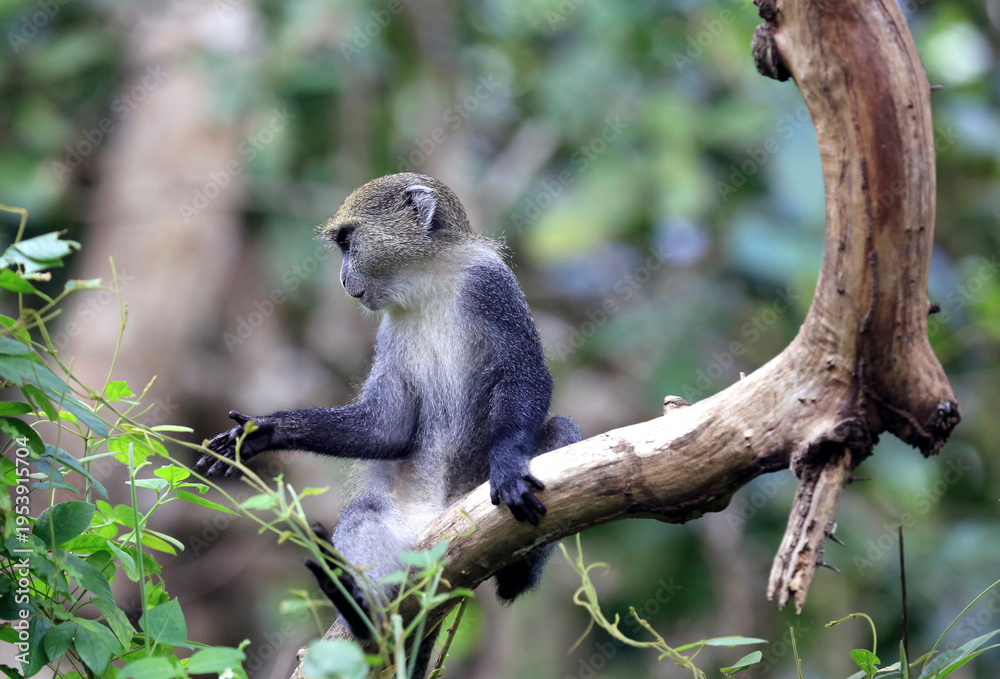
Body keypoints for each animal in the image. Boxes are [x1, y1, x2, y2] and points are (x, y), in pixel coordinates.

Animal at [197, 172, 580, 660]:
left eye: (348, 241)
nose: (343, 277)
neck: (428, 282)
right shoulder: (391, 329)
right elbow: (387, 428)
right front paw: (266, 431)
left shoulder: (492, 287)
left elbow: (525, 377)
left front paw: (509, 464)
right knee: (365, 514)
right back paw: (358, 611)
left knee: (561, 429)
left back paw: (516, 574)